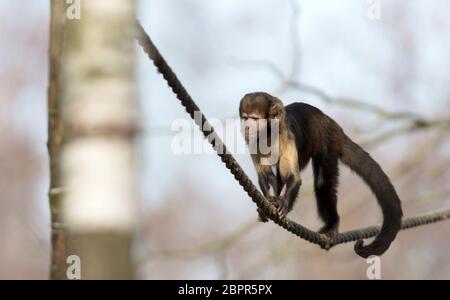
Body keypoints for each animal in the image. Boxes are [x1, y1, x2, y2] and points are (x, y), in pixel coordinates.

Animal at [241, 92, 402, 258]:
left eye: (254, 119)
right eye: (245, 118)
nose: (246, 126)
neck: (268, 134)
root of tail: (330, 122)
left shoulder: (286, 135)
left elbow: (293, 178)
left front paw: (283, 205)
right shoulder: (253, 140)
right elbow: (266, 176)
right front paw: (269, 202)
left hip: (328, 141)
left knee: (323, 184)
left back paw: (332, 225)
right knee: (279, 177)